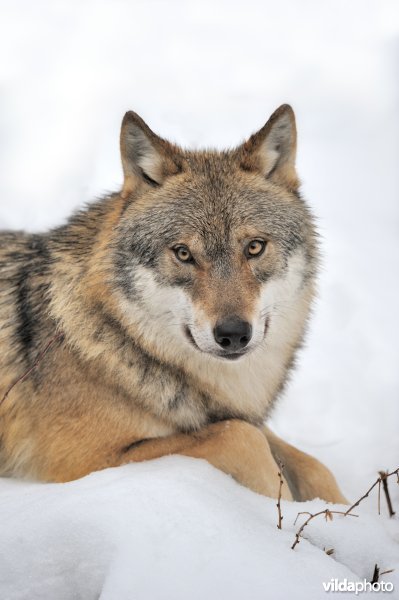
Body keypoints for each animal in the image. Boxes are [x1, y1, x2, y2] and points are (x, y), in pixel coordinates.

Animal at [0, 105, 346, 504]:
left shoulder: (237, 414)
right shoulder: (83, 463)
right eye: (183, 254)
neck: (120, 339)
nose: (233, 334)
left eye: (255, 247)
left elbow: (315, 466)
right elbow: (242, 437)